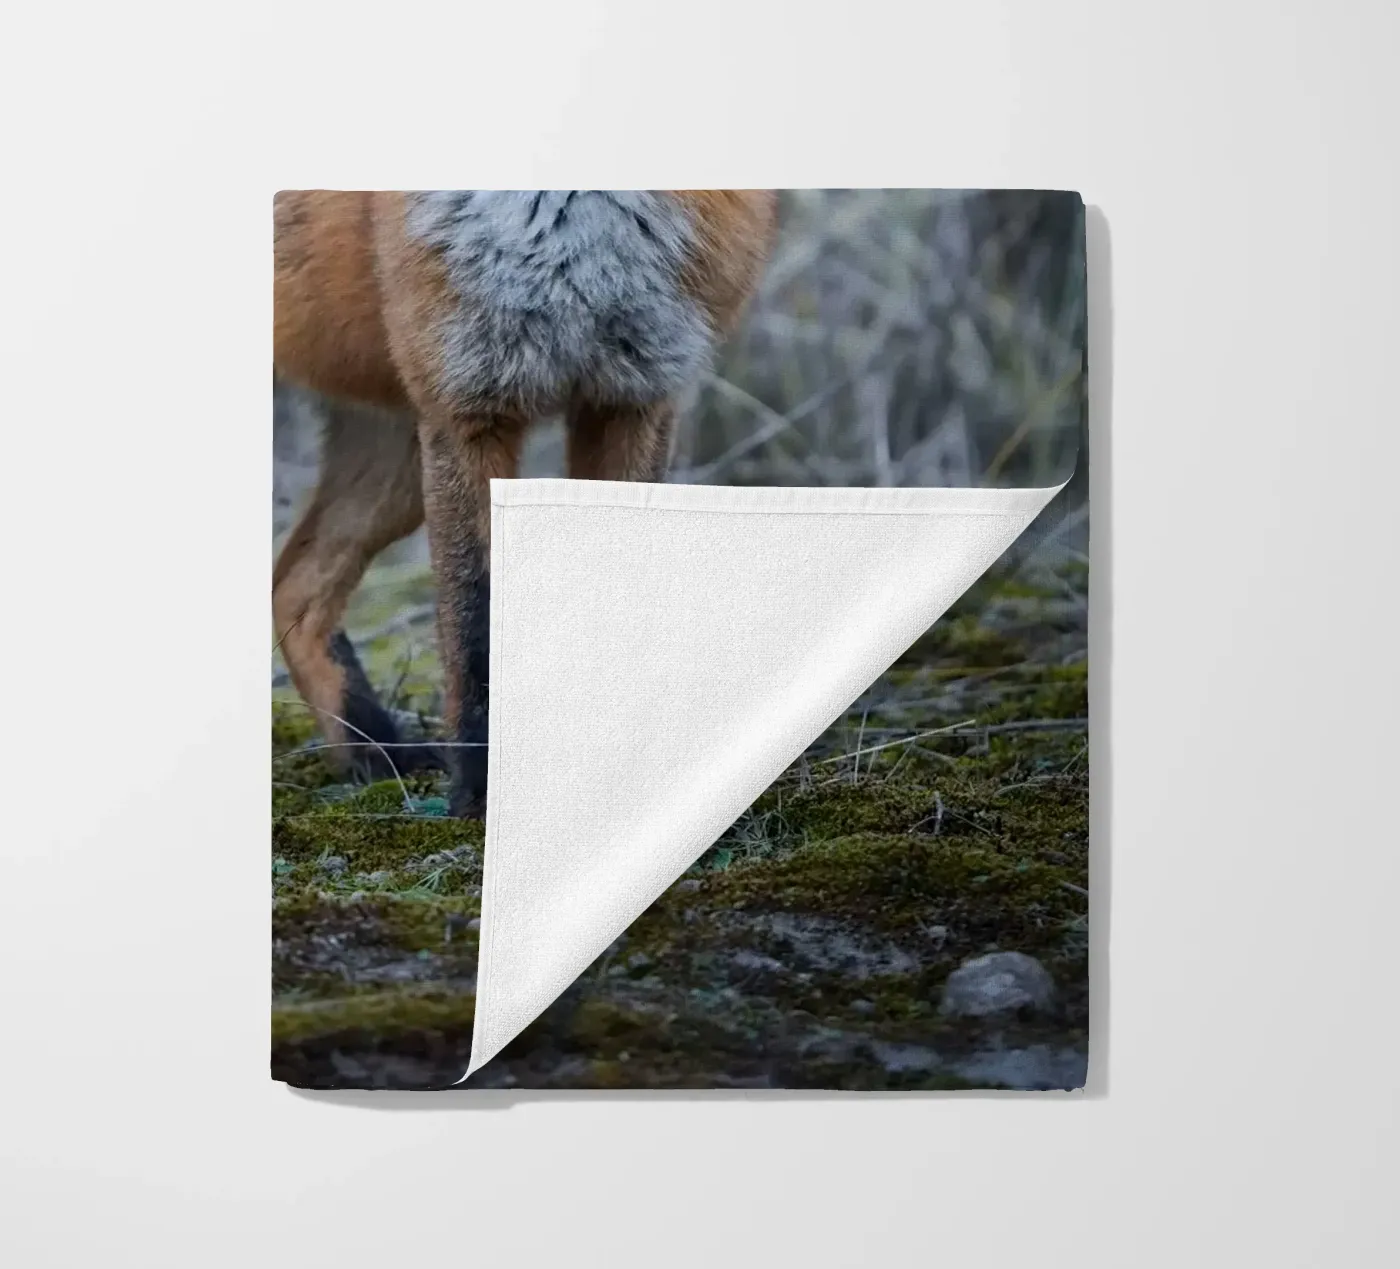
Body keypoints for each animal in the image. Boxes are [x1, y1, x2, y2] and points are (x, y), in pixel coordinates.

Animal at [273, 190, 778, 816]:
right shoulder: (466, 407)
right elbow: (476, 629)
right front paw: (484, 799)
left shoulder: (635, 396)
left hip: (395, 460)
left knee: (291, 589)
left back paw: (372, 752)